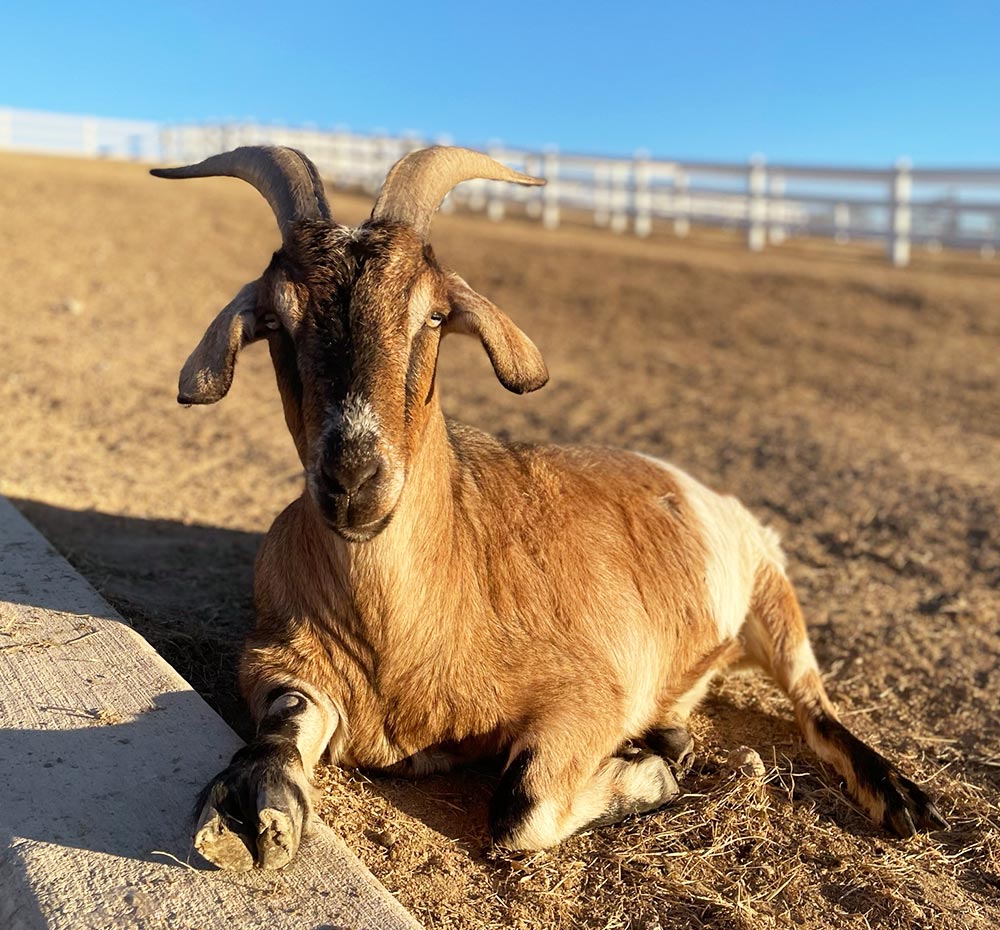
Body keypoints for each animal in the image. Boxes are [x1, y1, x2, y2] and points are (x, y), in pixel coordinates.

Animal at [151, 145, 946, 871]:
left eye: (433, 316)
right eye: (277, 322)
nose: (353, 480)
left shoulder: (590, 691)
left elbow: (521, 808)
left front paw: (656, 768)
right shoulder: (279, 652)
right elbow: (285, 717)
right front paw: (253, 805)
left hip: (770, 591)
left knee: (814, 705)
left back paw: (901, 798)